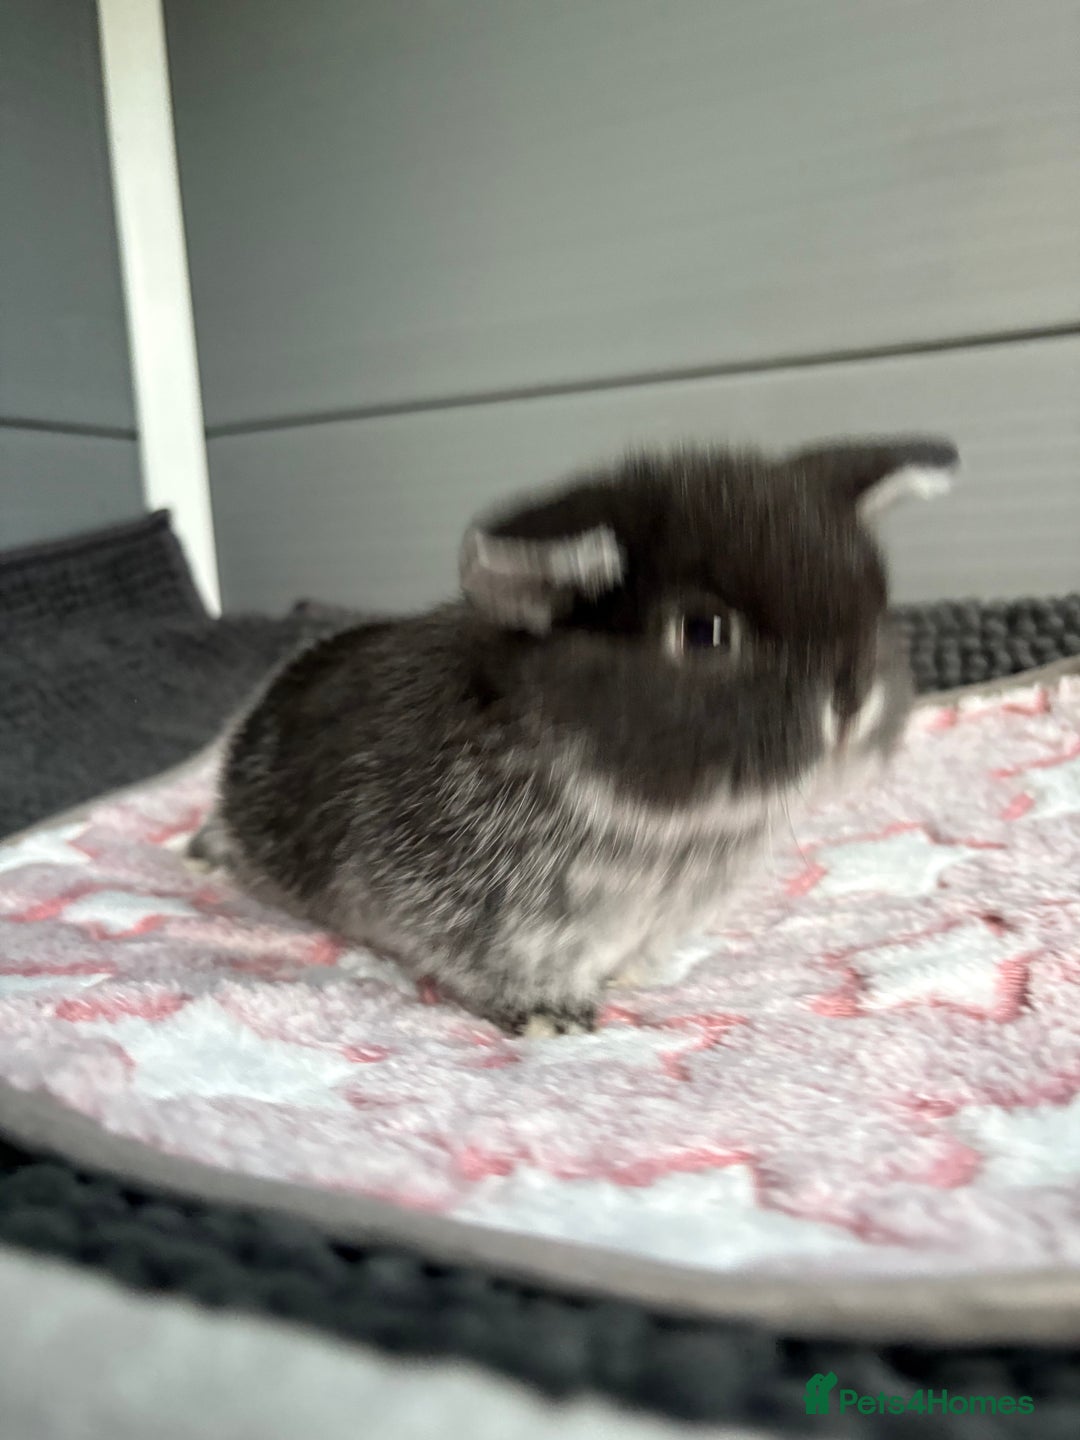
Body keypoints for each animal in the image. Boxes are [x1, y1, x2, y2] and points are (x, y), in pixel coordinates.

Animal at [190, 436, 958, 1036]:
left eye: (877, 608)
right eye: (704, 632)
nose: (853, 700)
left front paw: (637, 981)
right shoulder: (475, 914)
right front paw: (550, 1018)